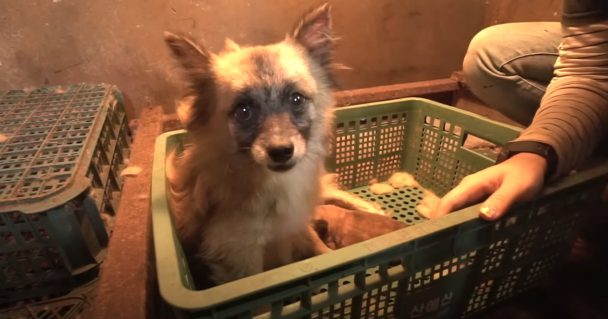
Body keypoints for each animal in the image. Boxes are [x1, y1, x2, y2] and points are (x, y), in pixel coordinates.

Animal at [165, 2, 384, 288]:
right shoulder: (241, 255)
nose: (281, 152)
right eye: (243, 110)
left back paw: (369, 207)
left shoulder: (297, 223)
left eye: (296, 99)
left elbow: (318, 246)